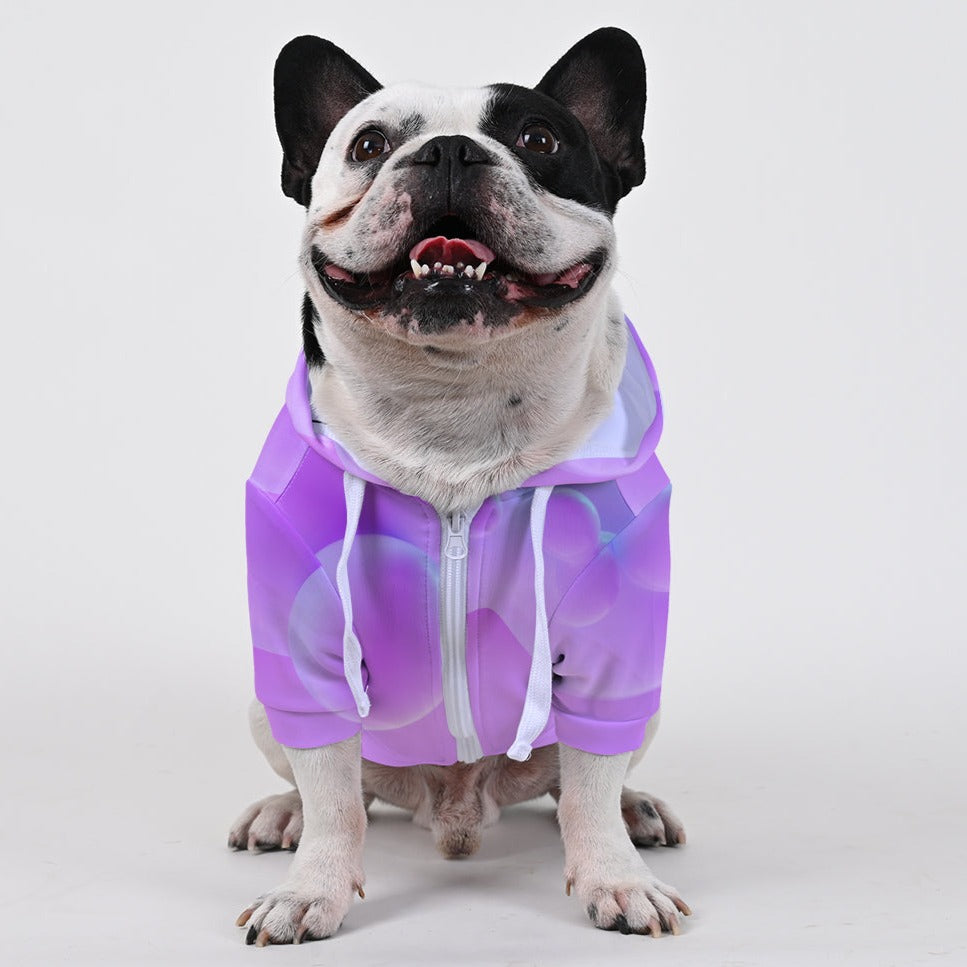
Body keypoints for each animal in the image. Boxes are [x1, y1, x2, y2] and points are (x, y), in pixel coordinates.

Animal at [230, 27, 690, 945]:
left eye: (538, 139)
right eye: (369, 145)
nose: (447, 150)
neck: (457, 409)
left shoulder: (614, 647)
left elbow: (588, 785)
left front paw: (614, 874)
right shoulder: (303, 644)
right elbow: (333, 794)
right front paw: (310, 887)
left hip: (641, 702)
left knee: (579, 778)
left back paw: (637, 809)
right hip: (267, 705)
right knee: (338, 785)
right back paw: (280, 813)